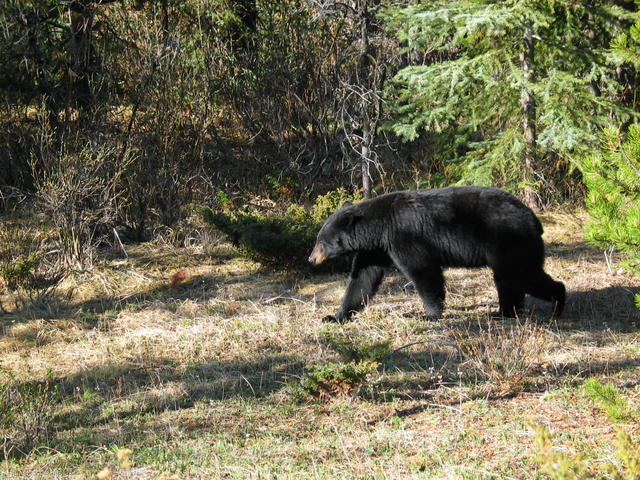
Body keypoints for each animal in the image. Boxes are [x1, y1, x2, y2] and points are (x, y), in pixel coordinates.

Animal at [308, 186, 565, 322]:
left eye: (321, 241)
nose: (311, 258)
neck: (379, 227)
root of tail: (534, 219)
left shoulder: (404, 237)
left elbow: (423, 272)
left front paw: (430, 314)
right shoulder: (376, 249)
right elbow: (362, 279)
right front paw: (336, 316)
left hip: (508, 242)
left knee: (520, 276)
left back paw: (556, 303)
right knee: (510, 280)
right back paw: (504, 312)